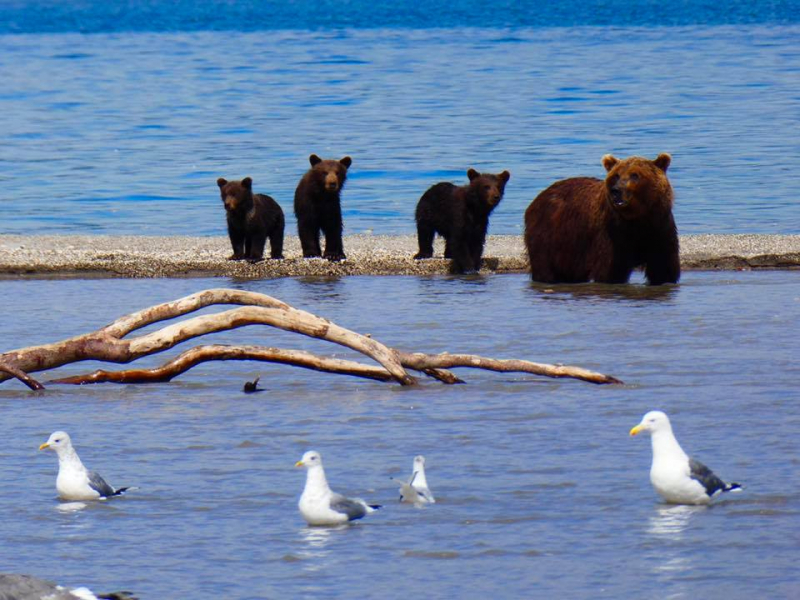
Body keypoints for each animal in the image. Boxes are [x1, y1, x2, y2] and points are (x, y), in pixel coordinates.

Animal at [524, 155, 680, 286]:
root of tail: (538, 197)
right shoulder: (614, 236)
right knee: (544, 266)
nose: (616, 190)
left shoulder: (659, 230)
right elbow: (610, 270)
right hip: (549, 235)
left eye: (635, 175)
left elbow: (663, 269)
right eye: (616, 175)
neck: (638, 219)